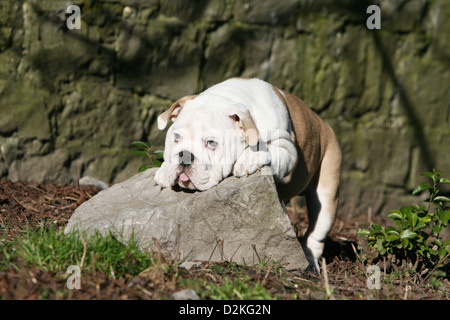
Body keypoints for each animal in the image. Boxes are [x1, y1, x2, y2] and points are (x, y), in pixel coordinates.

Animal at [154, 77, 342, 270]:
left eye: (211, 143)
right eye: (176, 137)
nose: (184, 155)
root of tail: (324, 123)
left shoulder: (287, 151)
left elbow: (269, 149)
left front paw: (249, 157)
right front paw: (164, 171)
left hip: (327, 191)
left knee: (318, 230)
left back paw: (311, 260)